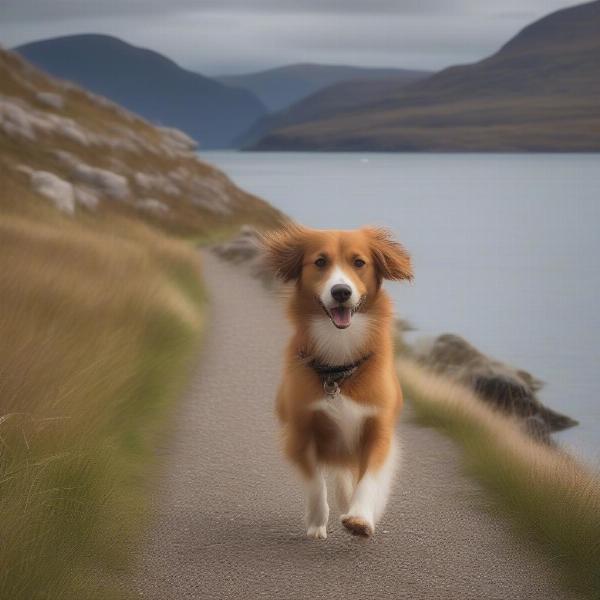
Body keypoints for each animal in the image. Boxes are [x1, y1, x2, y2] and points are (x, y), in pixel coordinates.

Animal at [262, 224, 412, 540]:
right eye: (320, 262)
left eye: (359, 262)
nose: (341, 291)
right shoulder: (300, 430)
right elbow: (315, 482)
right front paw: (317, 521)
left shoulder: (377, 428)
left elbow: (369, 479)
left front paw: (360, 517)